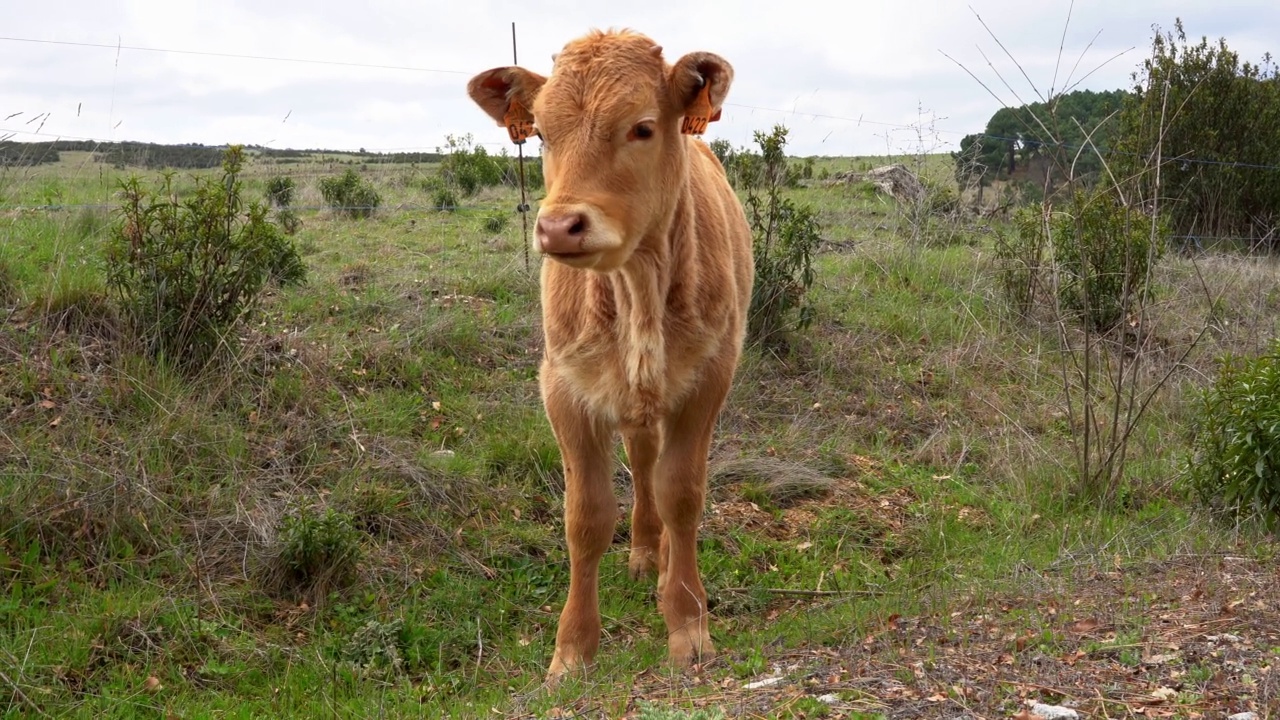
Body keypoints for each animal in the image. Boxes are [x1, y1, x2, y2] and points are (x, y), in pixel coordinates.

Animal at [468, 29, 747, 676]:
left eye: (643, 127)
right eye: (542, 133)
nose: (559, 227)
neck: (635, 287)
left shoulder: (708, 380)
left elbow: (682, 495)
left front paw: (687, 622)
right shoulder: (563, 387)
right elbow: (586, 517)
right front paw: (572, 649)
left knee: (661, 475)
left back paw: (664, 564)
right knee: (642, 462)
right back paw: (645, 552)